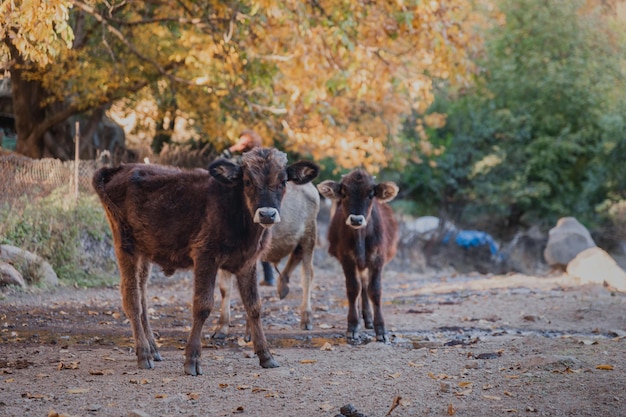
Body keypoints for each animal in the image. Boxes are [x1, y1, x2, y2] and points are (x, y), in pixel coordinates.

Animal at [214, 180, 320, 338]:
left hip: (309, 236)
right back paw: (283, 287)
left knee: (307, 275)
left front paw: (249, 332)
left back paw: (306, 318)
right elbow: (225, 289)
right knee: (296, 256)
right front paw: (221, 327)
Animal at [316, 168, 400, 342]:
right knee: (362, 285)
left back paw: (368, 319)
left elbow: (375, 290)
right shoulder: (346, 259)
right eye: (344, 193)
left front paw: (381, 330)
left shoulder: (377, 259)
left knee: (366, 285)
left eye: (370, 194)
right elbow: (353, 288)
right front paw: (353, 327)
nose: (356, 219)